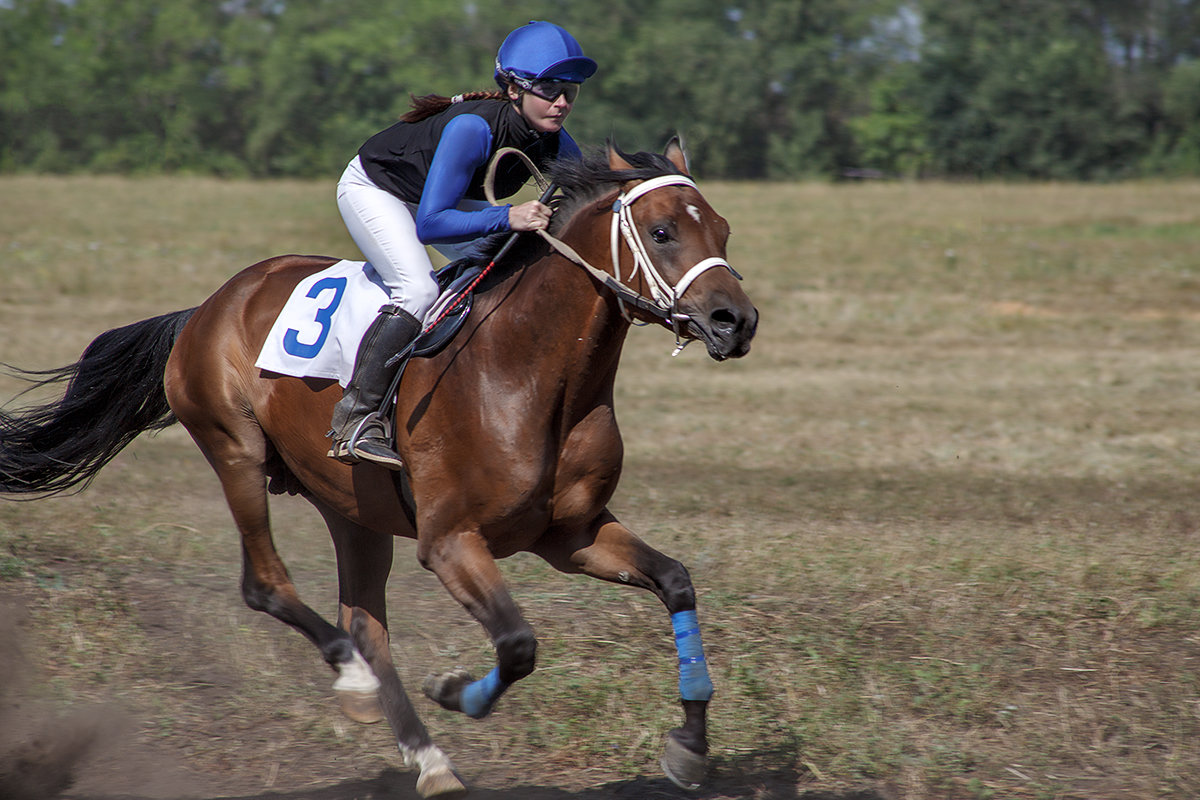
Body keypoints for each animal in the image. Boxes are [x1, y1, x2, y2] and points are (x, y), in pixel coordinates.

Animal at [2, 140, 758, 796]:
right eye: (662, 231)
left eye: (722, 229)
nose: (736, 321)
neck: (530, 373)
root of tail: (208, 306)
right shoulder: (449, 540)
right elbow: (517, 644)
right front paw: (454, 690)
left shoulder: (570, 535)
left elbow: (676, 582)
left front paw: (690, 747)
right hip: (235, 452)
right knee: (267, 586)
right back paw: (359, 684)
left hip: (352, 507)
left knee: (366, 622)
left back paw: (427, 757)